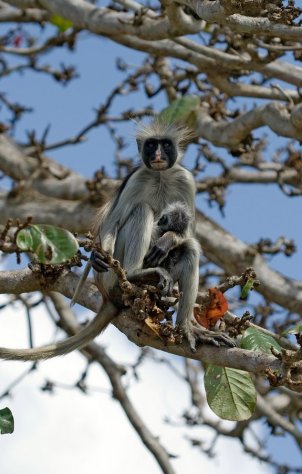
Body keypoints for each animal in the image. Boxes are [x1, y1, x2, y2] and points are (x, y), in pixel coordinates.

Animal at [0, 118, 235, 360]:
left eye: (166, 145)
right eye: (152, 145)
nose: (158, 154)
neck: (160, 175)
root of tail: (107, 295)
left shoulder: (185, 180)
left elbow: (188, 233)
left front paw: (168, 239)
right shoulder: (136, 179)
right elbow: (111, 224)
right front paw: (98, 256)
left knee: (191, 248)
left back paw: (186, 327)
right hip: (113, 277)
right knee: (141, 211)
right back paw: (133, 273)